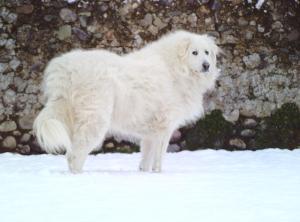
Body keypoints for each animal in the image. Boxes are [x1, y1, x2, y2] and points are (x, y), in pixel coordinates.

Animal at [34, 29, 220, 173]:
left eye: (206, 52)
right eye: (194, 52)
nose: (206, 65)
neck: (176, 68)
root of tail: (66, 69)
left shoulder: (151, 133)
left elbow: (146, 159)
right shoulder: (164, 127)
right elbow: (159, 158)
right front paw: (159, 175)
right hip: (95, 121)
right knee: (75, 155)